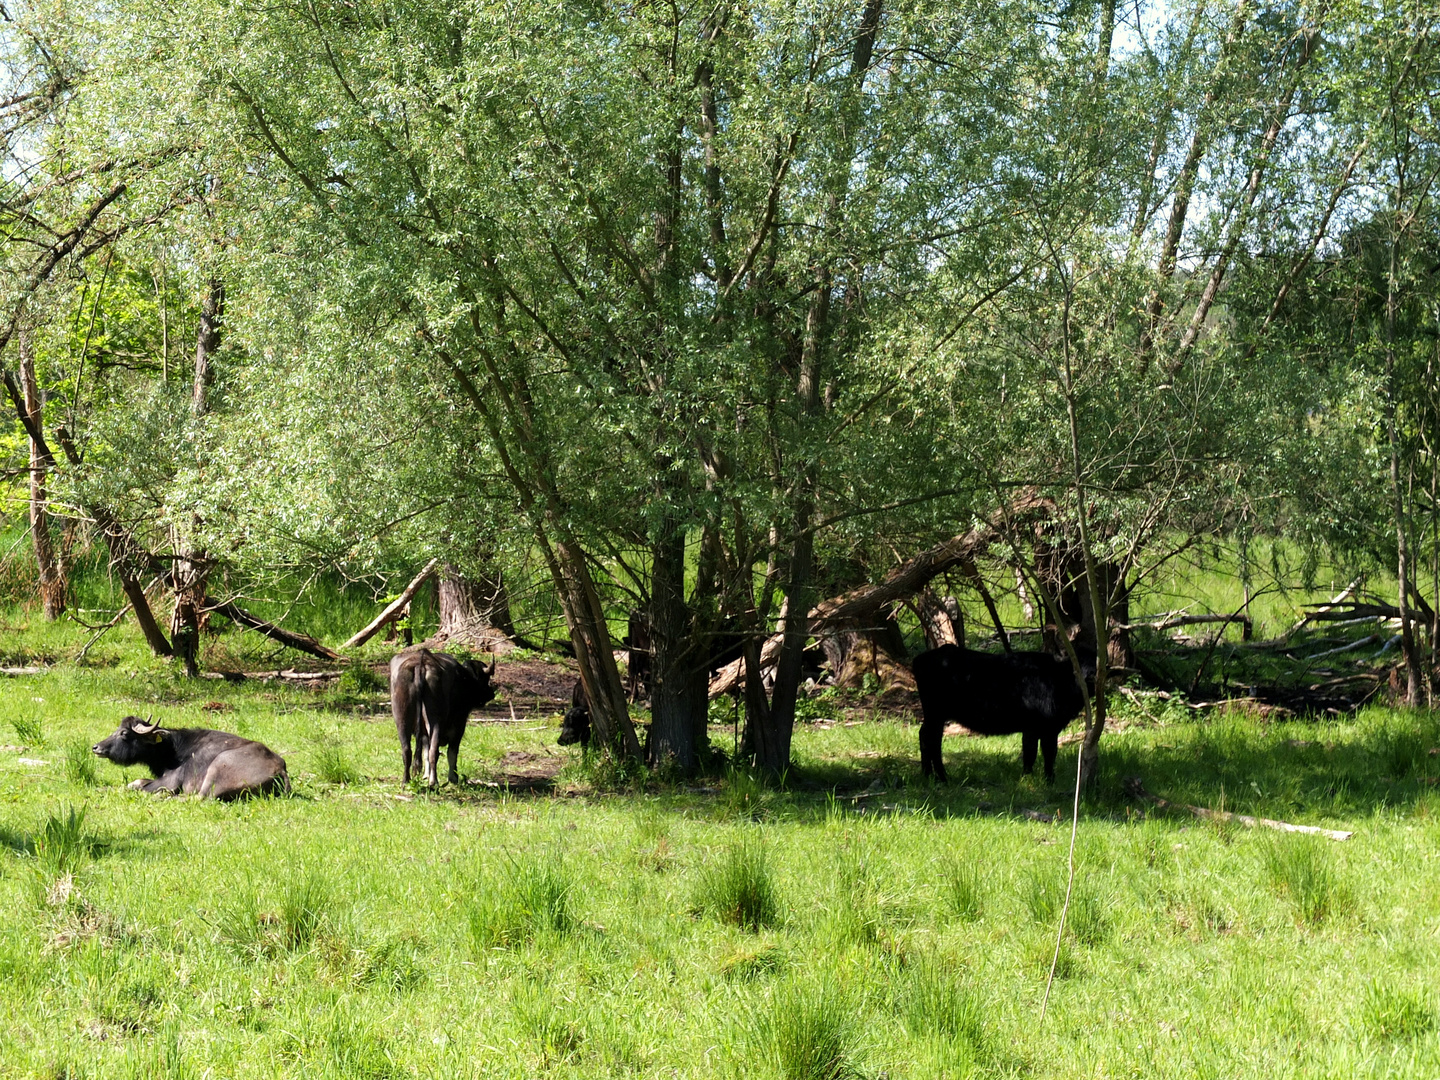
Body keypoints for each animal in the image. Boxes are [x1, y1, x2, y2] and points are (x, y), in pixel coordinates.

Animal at [90, 720, 289, 806]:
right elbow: (136, 782)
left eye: (124, 733)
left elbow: (136, 787)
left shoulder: (168, 782)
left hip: (217, 767)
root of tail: (281, 769)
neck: (172, 749)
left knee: (199, 798)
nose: (96, 747)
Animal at [391, 648, 498, 789]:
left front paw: (426, 775)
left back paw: (406, 781)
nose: (491, 694)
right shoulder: (459, 726)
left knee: (407, 750)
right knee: (434, 751)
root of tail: (421, 663)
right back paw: (434, 782)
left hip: (401, 719)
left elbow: (425, 751)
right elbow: (452, 752)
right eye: (485, 679)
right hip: (435, 720)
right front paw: (453, 777)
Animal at [915, 642, 1094, 789]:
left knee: (928, 737)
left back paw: (929, 775)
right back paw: (939, 776)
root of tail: (921, 658)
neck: (1058, 680)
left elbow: (1044, 754)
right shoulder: (1035, 728)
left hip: (935, 715)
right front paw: (1035, 780)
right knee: (930, 739)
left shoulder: (1048, 729)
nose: (1089, 677)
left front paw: (1041, 780)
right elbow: (1035, 753)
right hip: (935, 713)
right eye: (1078, 665)